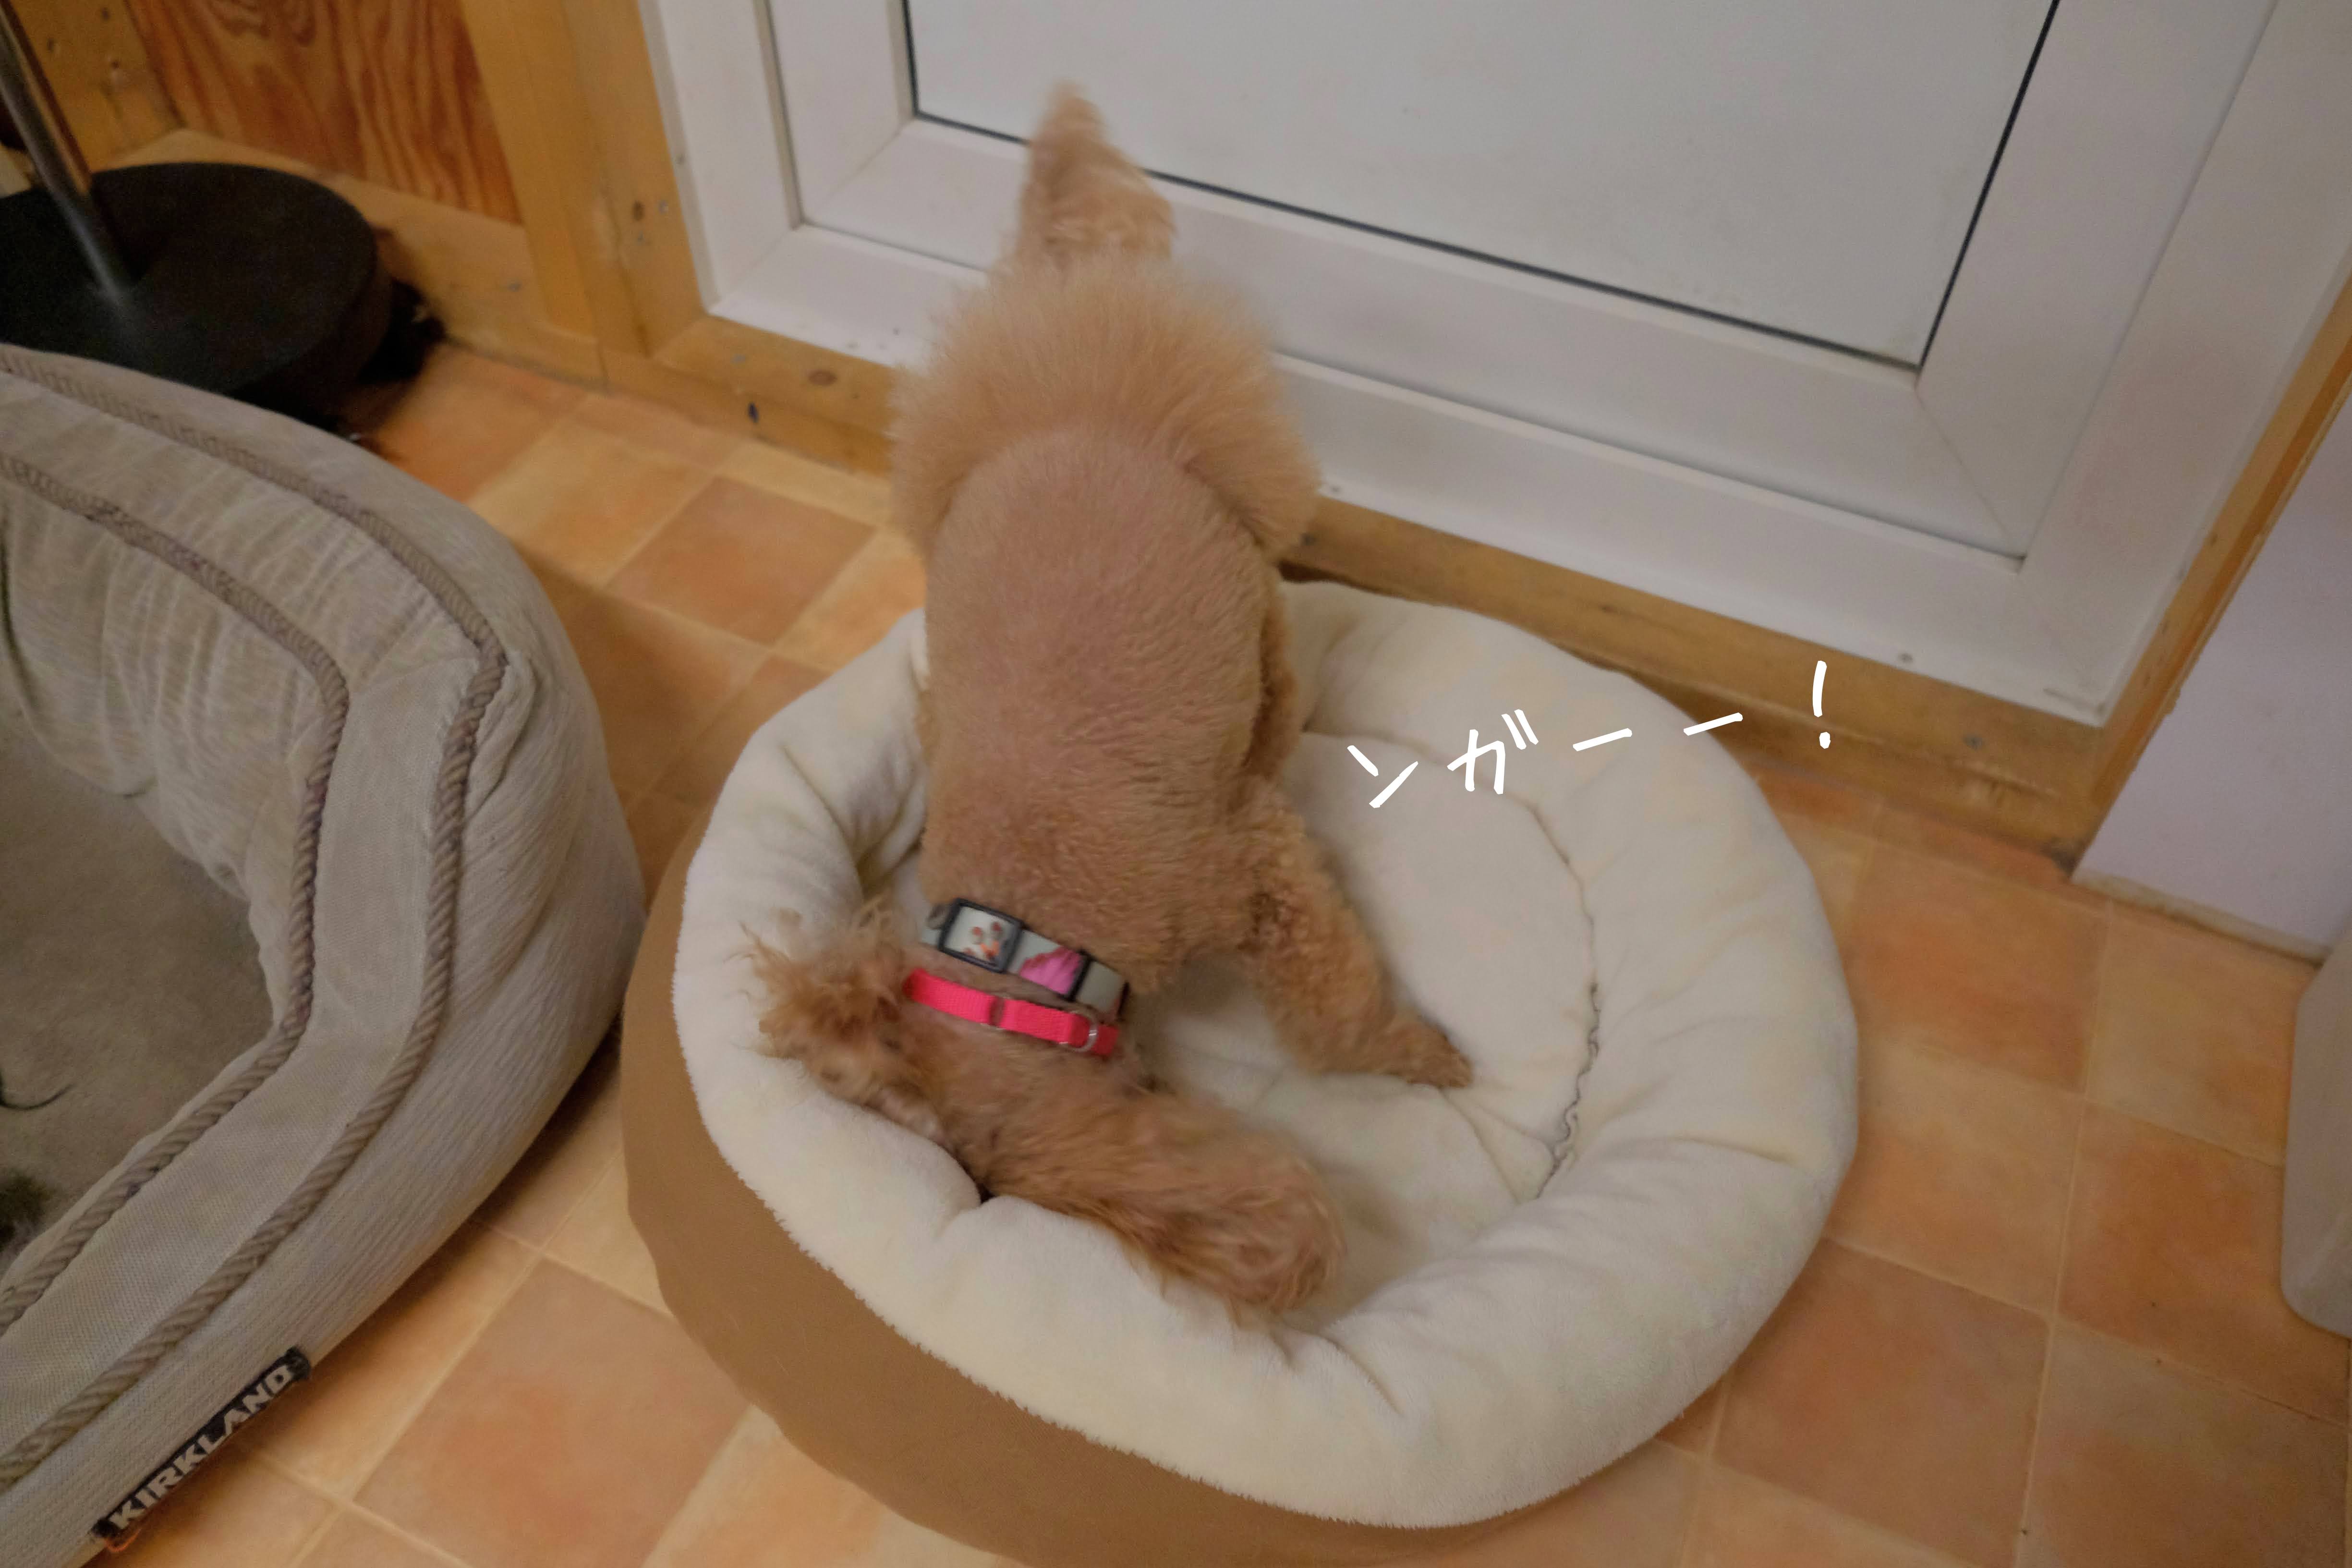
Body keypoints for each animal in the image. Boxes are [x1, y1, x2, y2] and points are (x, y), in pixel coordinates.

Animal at [757, 88, 1470, 1316]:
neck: (1019, 942)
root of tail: (1058, 316)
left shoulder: (1252, 873)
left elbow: (1335, 1015)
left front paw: (1420, 1056)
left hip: (1242, 521)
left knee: (1276, 680)